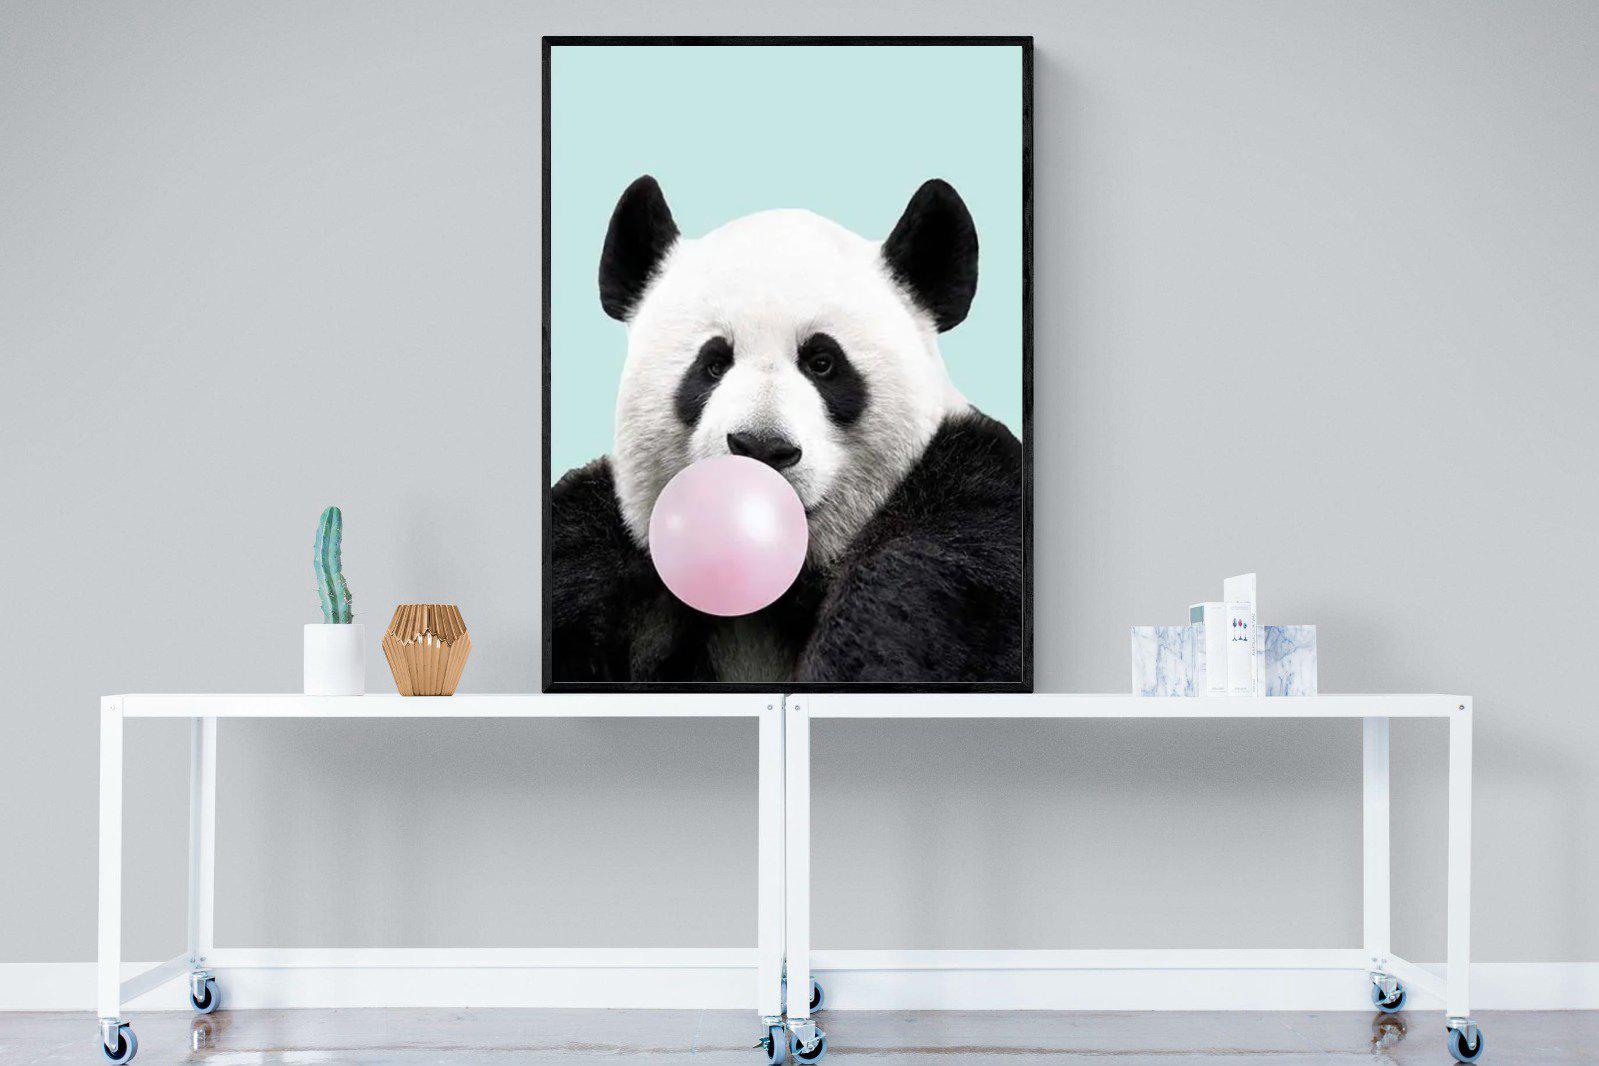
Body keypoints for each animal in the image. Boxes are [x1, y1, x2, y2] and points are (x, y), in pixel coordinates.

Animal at [550, 175, 1025, 685]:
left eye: (823, 363)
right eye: (713, 364)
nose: (761, 447)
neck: (773, 592)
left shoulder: (971, 518)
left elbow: (919, 599)